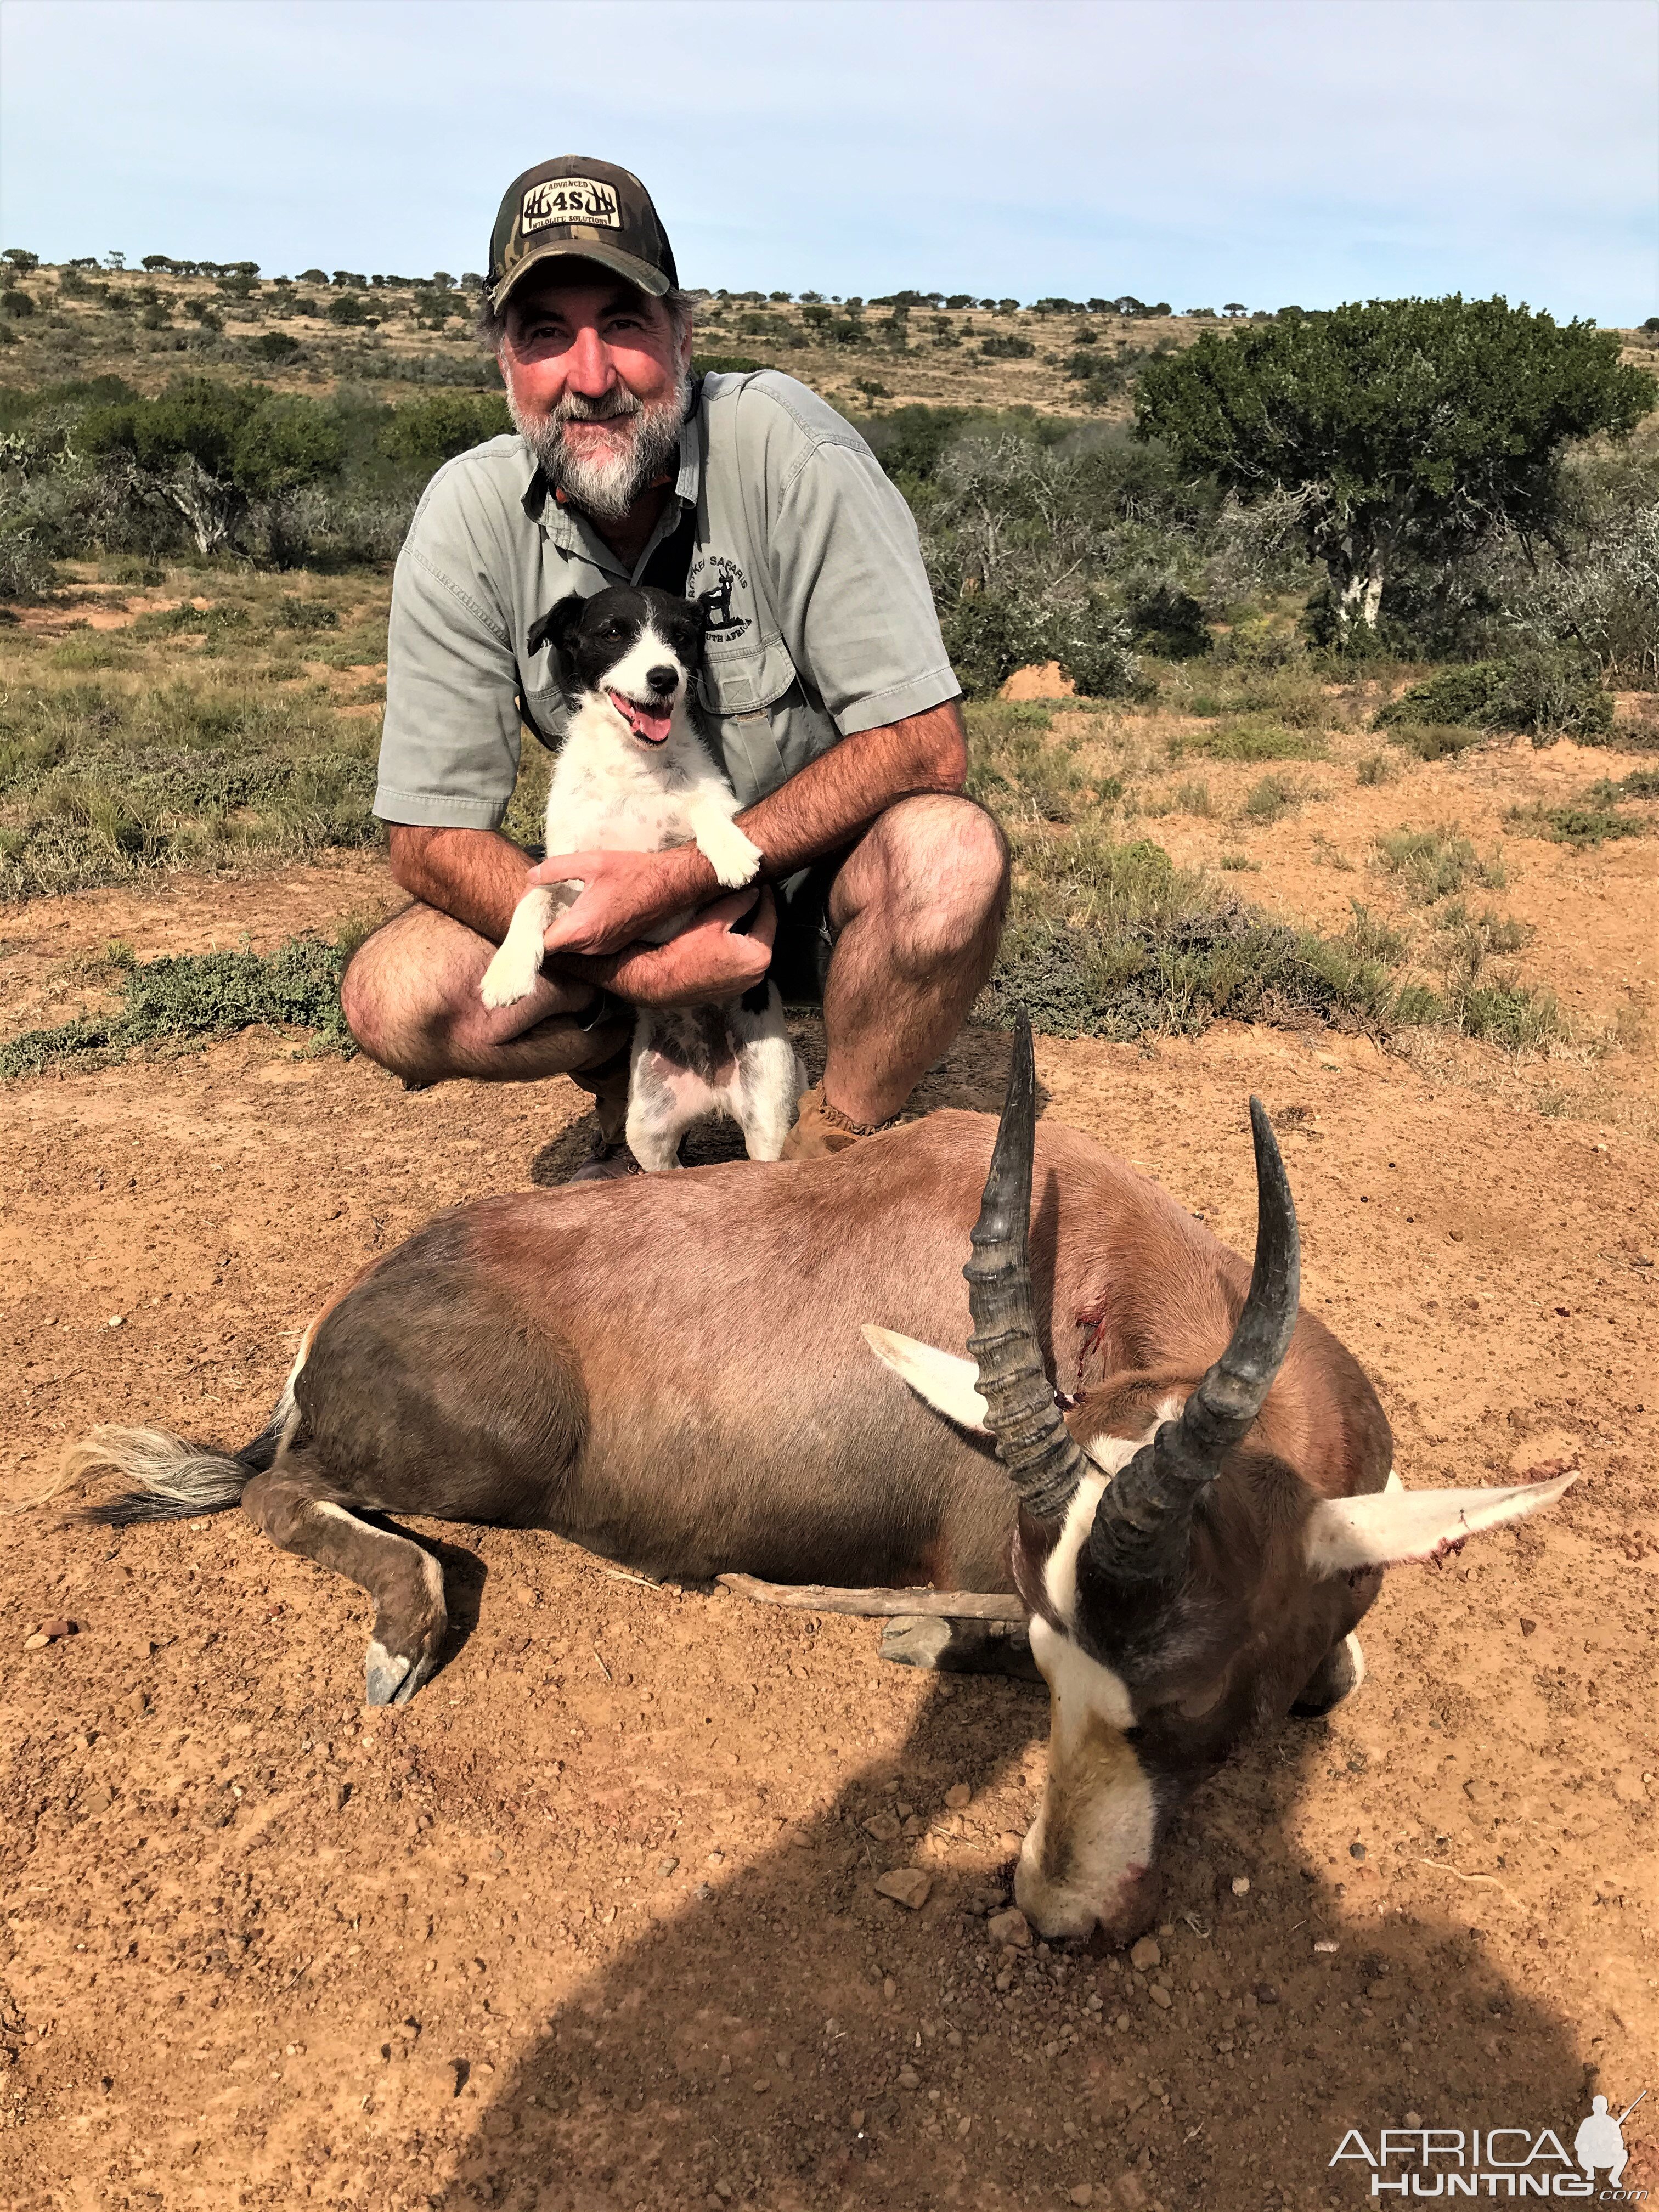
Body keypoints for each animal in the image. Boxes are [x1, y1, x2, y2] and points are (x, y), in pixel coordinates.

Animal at [58, 1017, 1575, 1938]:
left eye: (1196, 1698)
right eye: (1055, 1661)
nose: (1060, 1915)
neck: (1093, 1257)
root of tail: (344, 1317)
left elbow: (1344, 1668)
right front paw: (897, 1637)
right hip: (474, 1453)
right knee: (277, 1490)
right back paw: (402, 1637)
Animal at [479, 588, 805, 1177]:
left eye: (682, 636)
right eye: (613, 633)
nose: (664, 678)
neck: (631, 767)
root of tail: (713, 1088)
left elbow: (700, 804)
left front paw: (728, 848)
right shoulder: (569, 871)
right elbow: (532, 898)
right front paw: (508, 969)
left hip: (768, 1111)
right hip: (648, 1127)